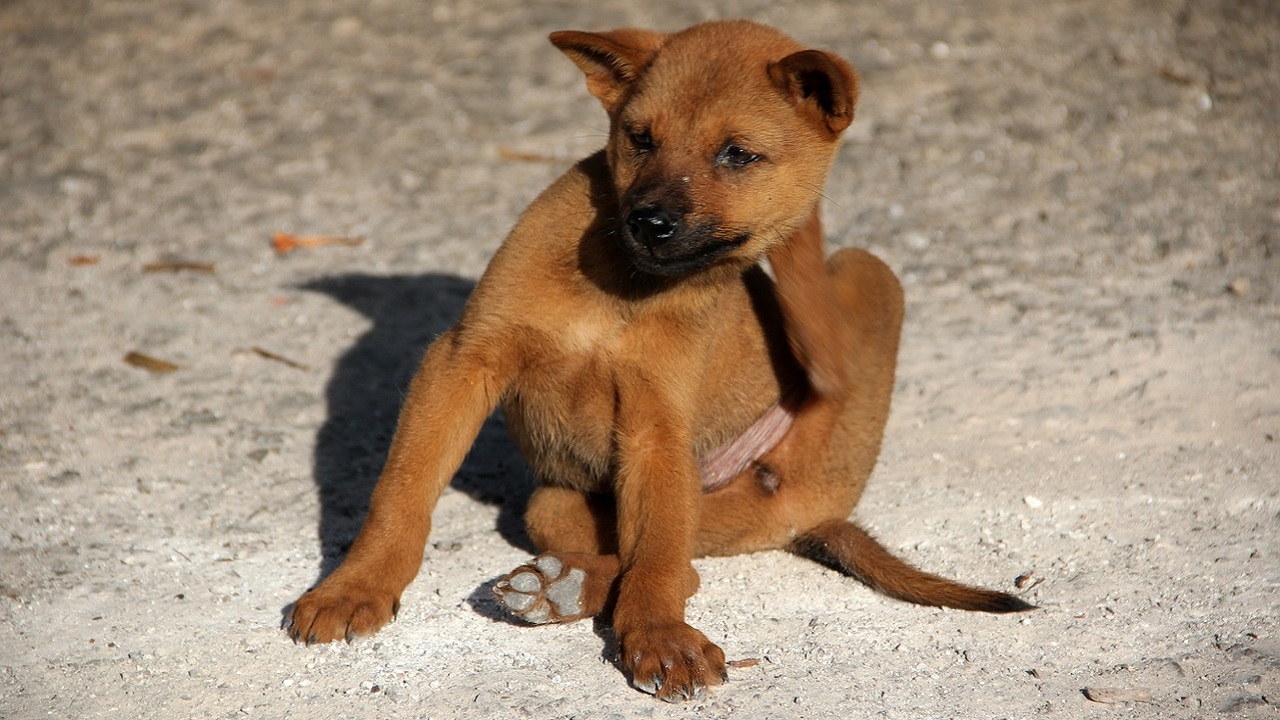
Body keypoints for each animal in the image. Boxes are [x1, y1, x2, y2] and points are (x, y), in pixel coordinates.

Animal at [290, 18, 1029, 702]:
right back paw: (559, 584)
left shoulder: (656, 427)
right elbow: (402, 494)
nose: (649, 223)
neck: (622, 286)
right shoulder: (461, 362)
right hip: (559, 501)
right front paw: (355, 586)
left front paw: (659, 638)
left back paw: (563, 588)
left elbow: (657, 561)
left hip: (862, 278)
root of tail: (819, 514)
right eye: (639, 138)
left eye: (738, 154)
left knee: (680, 561)